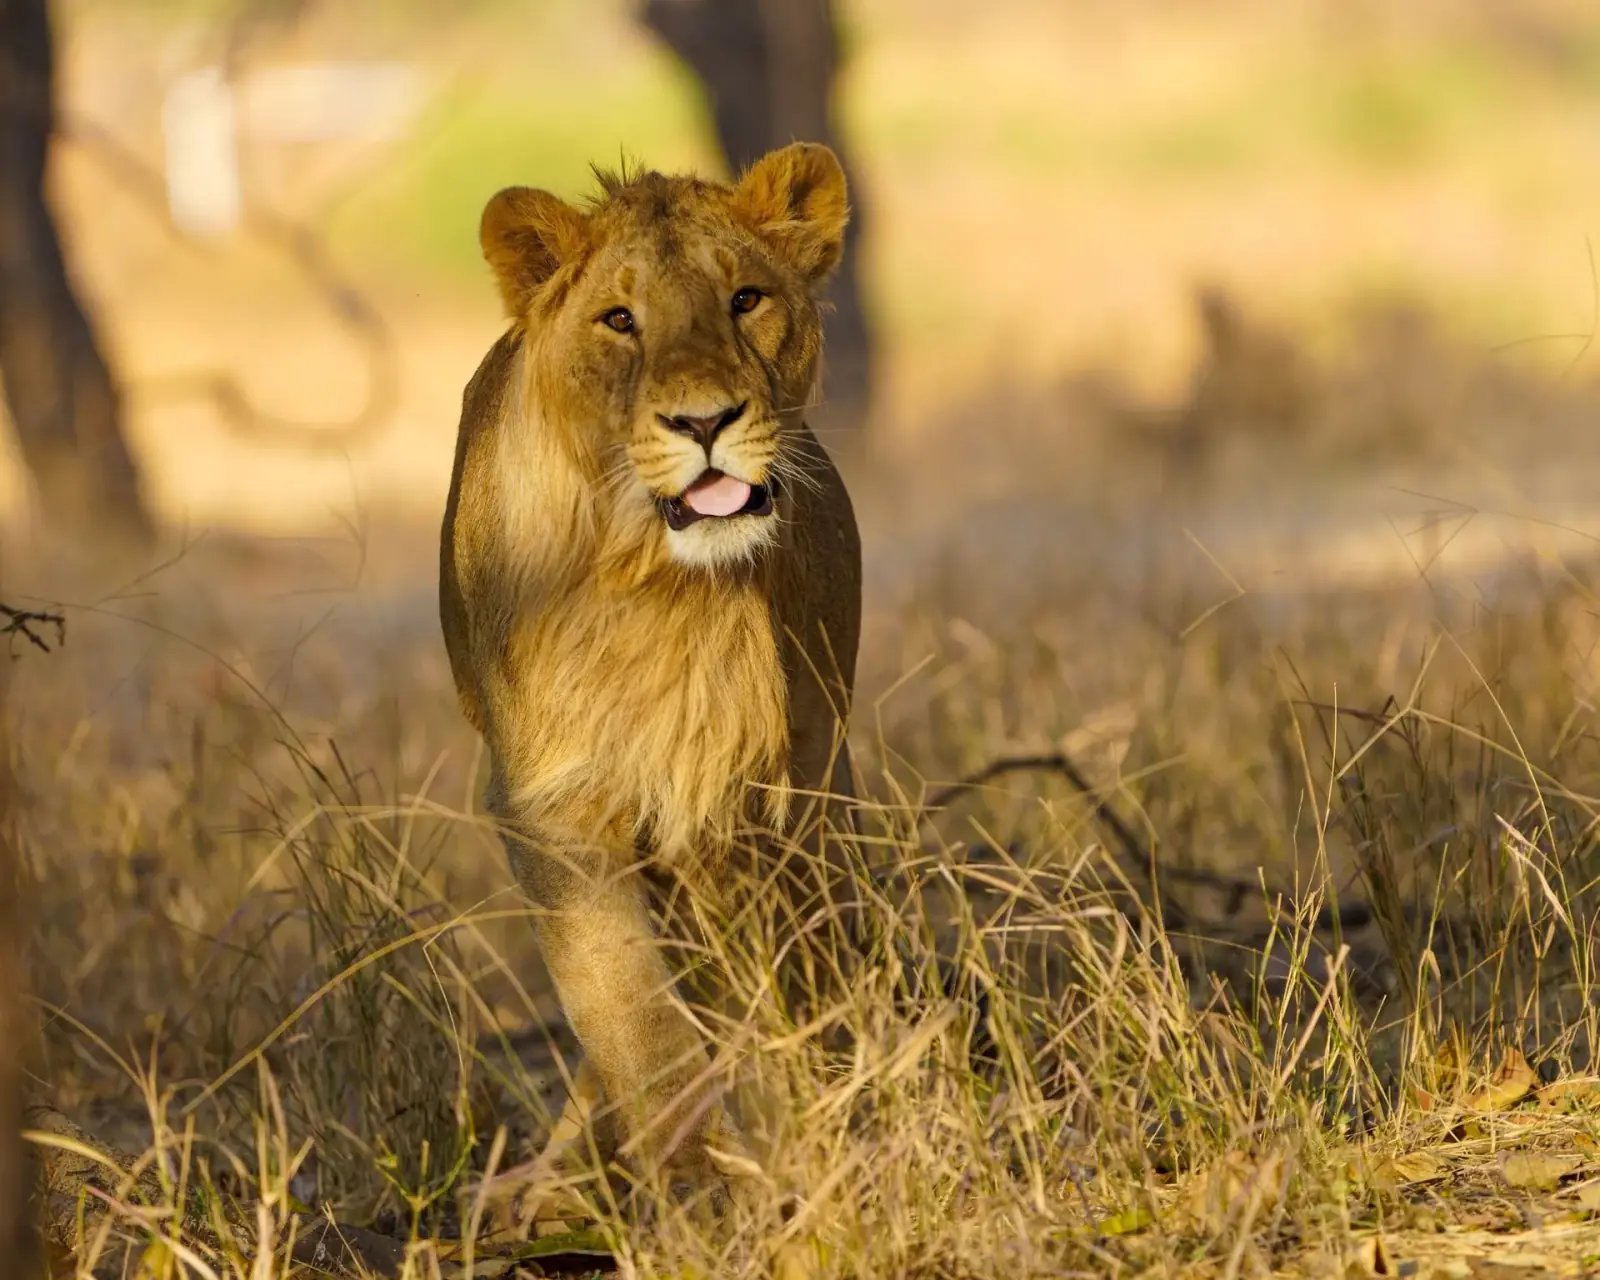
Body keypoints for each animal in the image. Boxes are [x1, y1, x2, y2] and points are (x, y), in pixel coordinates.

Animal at [438, 142, 862, 1223]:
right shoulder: (549, 800)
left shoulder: (764, 790)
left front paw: (796, 1139)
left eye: (746, 298)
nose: (703, 421)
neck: (657, 581)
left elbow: (770, 980)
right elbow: (625, 1003)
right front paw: (697, 1181)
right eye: (619, 319)